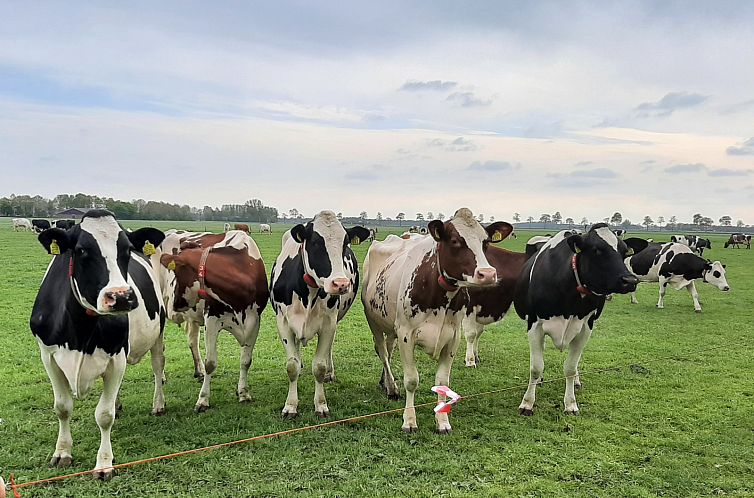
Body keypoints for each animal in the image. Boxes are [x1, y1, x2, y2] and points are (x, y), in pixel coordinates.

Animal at [30, 209, 164, 478]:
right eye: (81, 250)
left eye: (127, 250)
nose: (121, 296)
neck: (80, 332)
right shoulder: (48, 357)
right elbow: (62, 407)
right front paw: (62, 453)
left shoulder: (117, 356)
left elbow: (104, 415)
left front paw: (104, 464)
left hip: (157, 334)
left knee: (157, 368)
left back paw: (158, 405)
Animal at [156, 230, 268, 412]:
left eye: (177, 273)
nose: (175, 303)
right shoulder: (212, 319)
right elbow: (211, 363)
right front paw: (203, 399)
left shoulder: (254, 321)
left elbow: (246, 361)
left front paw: (243, 393)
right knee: (161, 349)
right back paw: (164, 377)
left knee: (192, 342)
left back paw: (198, 371)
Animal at [360, 208, 512, 434]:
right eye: (455, 240)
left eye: (485, 242)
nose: (488, 274)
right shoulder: (406, 335)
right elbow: (411, 380)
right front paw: (409, 421)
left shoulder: (453, 337)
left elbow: (442, 381)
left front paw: (442, 422)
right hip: (374, 322)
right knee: (383, 352)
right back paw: (392, 388)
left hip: (391, 326)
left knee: (388, 348)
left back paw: (386, 383)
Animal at [512, 224, 636, 414]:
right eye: (597, 250)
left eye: (624, 252)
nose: (630, 280)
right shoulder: (534, 325)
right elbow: (536, 367)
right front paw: (527, 403)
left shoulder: (586, 327)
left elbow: (570, 367)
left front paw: (570, 404)